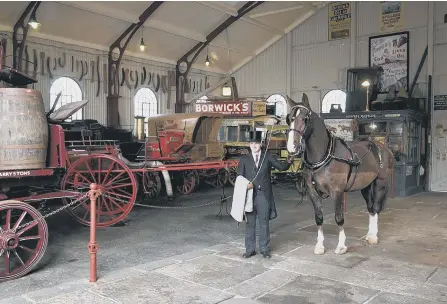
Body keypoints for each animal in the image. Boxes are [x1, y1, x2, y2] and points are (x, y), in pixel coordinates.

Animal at [286, 94, 394, 255]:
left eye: (305, 118)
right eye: (289, 119)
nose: (291, 147)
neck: (324, 156)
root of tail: (381, 147)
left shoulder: (337, 192)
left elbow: (339, 218)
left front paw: (341, 245)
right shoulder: (312, 192)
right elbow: (319, 218)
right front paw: (320, 246)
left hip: (380, 183)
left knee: (375, 207)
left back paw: (373, 236)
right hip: (366, 186)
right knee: (370, 208)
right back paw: (369, 234)